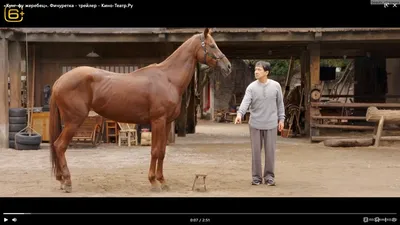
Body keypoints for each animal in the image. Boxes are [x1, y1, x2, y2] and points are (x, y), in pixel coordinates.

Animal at [49, 27, 231, 193]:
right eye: (212, 45)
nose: (228, 66)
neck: (168, 79)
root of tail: (59, 81)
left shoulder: (166, 123)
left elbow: (162, 151)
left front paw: (163, 181)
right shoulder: (157, 121)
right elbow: (155, 151)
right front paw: (153, 182)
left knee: (57, 146)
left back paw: (61, 180)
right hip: (74, 121)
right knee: (60, 146)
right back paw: (67, 182)